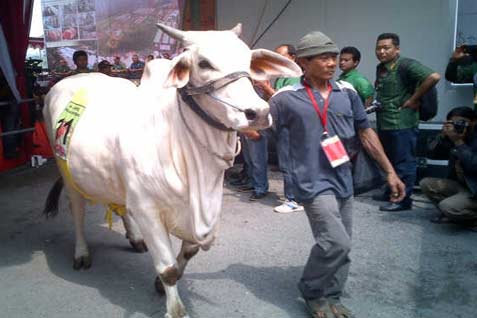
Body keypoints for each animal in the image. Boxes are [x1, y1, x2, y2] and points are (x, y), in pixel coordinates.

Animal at [41, 23, 302, 318]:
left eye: (247, 60)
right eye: (203, 63)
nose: (258, 112)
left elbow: (188, 253)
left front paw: (160, 280)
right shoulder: (148, 210)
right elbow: (168, 269)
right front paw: (175, 308)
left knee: (119, 205)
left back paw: (135, 238)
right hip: (67, 172)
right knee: (77, 211)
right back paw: (82, 253)